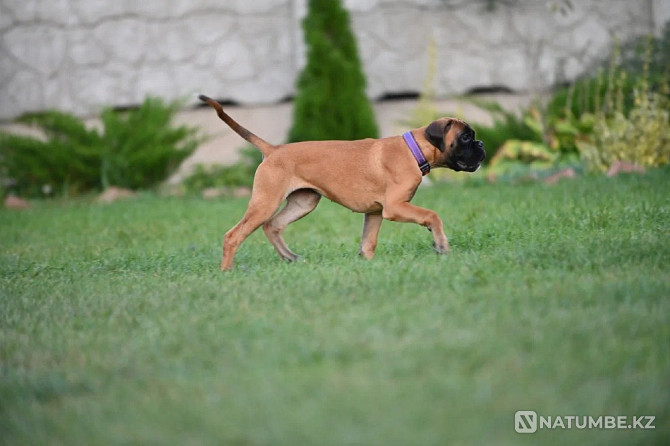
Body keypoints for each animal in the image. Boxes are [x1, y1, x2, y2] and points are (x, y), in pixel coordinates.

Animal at [197, 94, 486, 270]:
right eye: (465, 137)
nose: (482, 145)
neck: (414, 150)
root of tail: (274, 149)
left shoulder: (375, 213)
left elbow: (368, 243)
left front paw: (366, 264)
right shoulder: (394, 208)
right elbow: (432, 215)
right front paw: (441, 245)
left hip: (304, 202)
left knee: (272, 226)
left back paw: (290, 257)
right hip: (265, 202)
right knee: (233, 235)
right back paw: (227, 271)